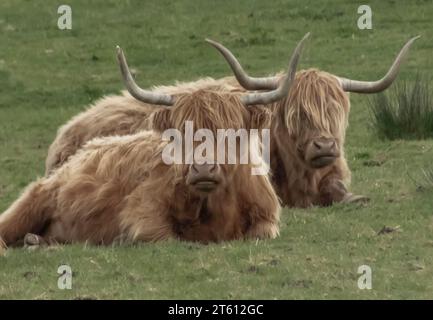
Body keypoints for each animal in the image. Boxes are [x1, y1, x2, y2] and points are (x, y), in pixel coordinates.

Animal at [0, 33, 308, 249]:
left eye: (231, 132)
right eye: (180, 133)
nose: (203, 169)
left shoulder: (268, 218)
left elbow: (261, 233)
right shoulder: (142, 211)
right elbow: (163, 236)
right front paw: (122, 239)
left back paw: (37, 242)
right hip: (31, 202)